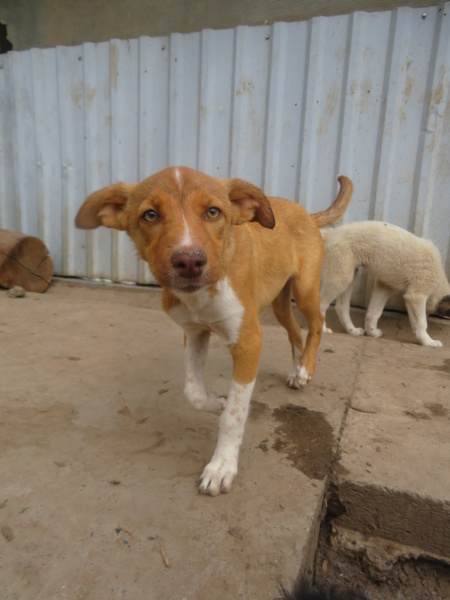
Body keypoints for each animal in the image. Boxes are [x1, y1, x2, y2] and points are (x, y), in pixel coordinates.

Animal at [75, 166, 354, 494]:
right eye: (150, 215)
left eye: (212, 212)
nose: (189, 262)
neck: (205, 292)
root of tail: (307, 213)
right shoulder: (194, 333)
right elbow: (193, 391)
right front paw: (218, 402)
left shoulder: (248, 342)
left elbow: (234, 416)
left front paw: (221, 466)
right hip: (279, 302)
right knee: (295, 331)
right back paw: (296, 369)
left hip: (306, 289)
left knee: (317, 323)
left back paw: (305, 369)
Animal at [320, 221, 450, 346]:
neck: (440, 280)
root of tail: (331, 232)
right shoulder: (416, 295)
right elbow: (422, 323)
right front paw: (428, 341)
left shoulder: (385, 286)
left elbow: (374, 313)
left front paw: (372, 332)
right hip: (341, 278)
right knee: (321, 304)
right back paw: (323, 329)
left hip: (350, 276)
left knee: (341, 307)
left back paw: (352, 330)